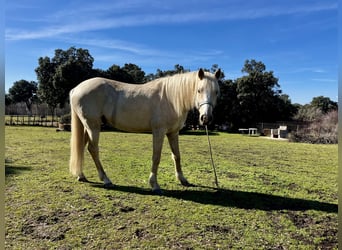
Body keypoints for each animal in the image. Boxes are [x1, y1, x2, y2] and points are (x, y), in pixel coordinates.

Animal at [69, 67, 222, 192]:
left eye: (216, 92)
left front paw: (182, 179)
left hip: (87, 126)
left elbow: (176, 156)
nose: (206, 118)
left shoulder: (173, 133)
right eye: (199, 90)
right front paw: (154, 184)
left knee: (82, 146)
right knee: (93, 149)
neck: (171, 98)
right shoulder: (159, 132)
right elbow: (156, 157)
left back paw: (81, 175)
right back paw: (106, 179)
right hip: (93, 126)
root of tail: (76, 89)